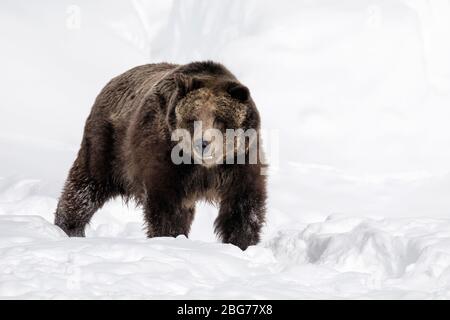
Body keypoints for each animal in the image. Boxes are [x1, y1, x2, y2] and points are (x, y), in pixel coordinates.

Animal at [55, 60, 268, 250]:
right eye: (193, 119)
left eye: (220, 119)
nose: (203, 143)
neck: (206, 167)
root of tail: (111, 82)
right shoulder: (168, 161)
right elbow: (167, 207)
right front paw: (169, 238)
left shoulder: (239, 163)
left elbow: (243, 208)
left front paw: (242, 244)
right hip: (109, 147)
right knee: (85, 186)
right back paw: (68, 227)